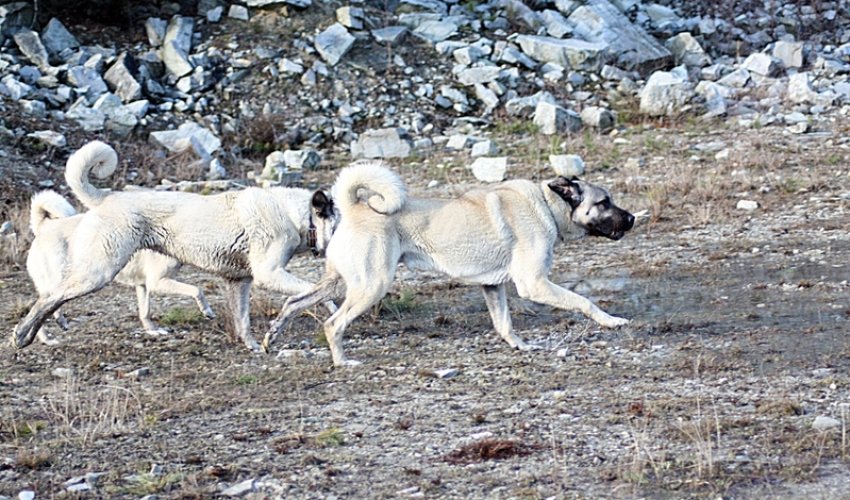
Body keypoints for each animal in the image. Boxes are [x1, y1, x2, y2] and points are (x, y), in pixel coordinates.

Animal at [27, 189, 214, 342]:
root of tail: (43, 226)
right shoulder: (157, 282)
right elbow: (197, 290)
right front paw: (207, 311)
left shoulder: (143, 286)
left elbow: (145, 312)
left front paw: (153, 331)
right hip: (65, 279)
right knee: (44, 307)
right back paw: (48, 337)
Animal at [262, 162, 632, 366]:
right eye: (604, 202)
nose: (631, 219)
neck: (547, 204)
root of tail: (353, 208)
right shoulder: (534, 283)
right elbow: (584, 301)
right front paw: (611, 321)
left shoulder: (492, 286)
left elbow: (504, 324)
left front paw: (519, 346)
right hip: (370, 286)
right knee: (333, 324)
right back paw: (342, 361)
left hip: (337, 283)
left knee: (293, 302)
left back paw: (270, 338)